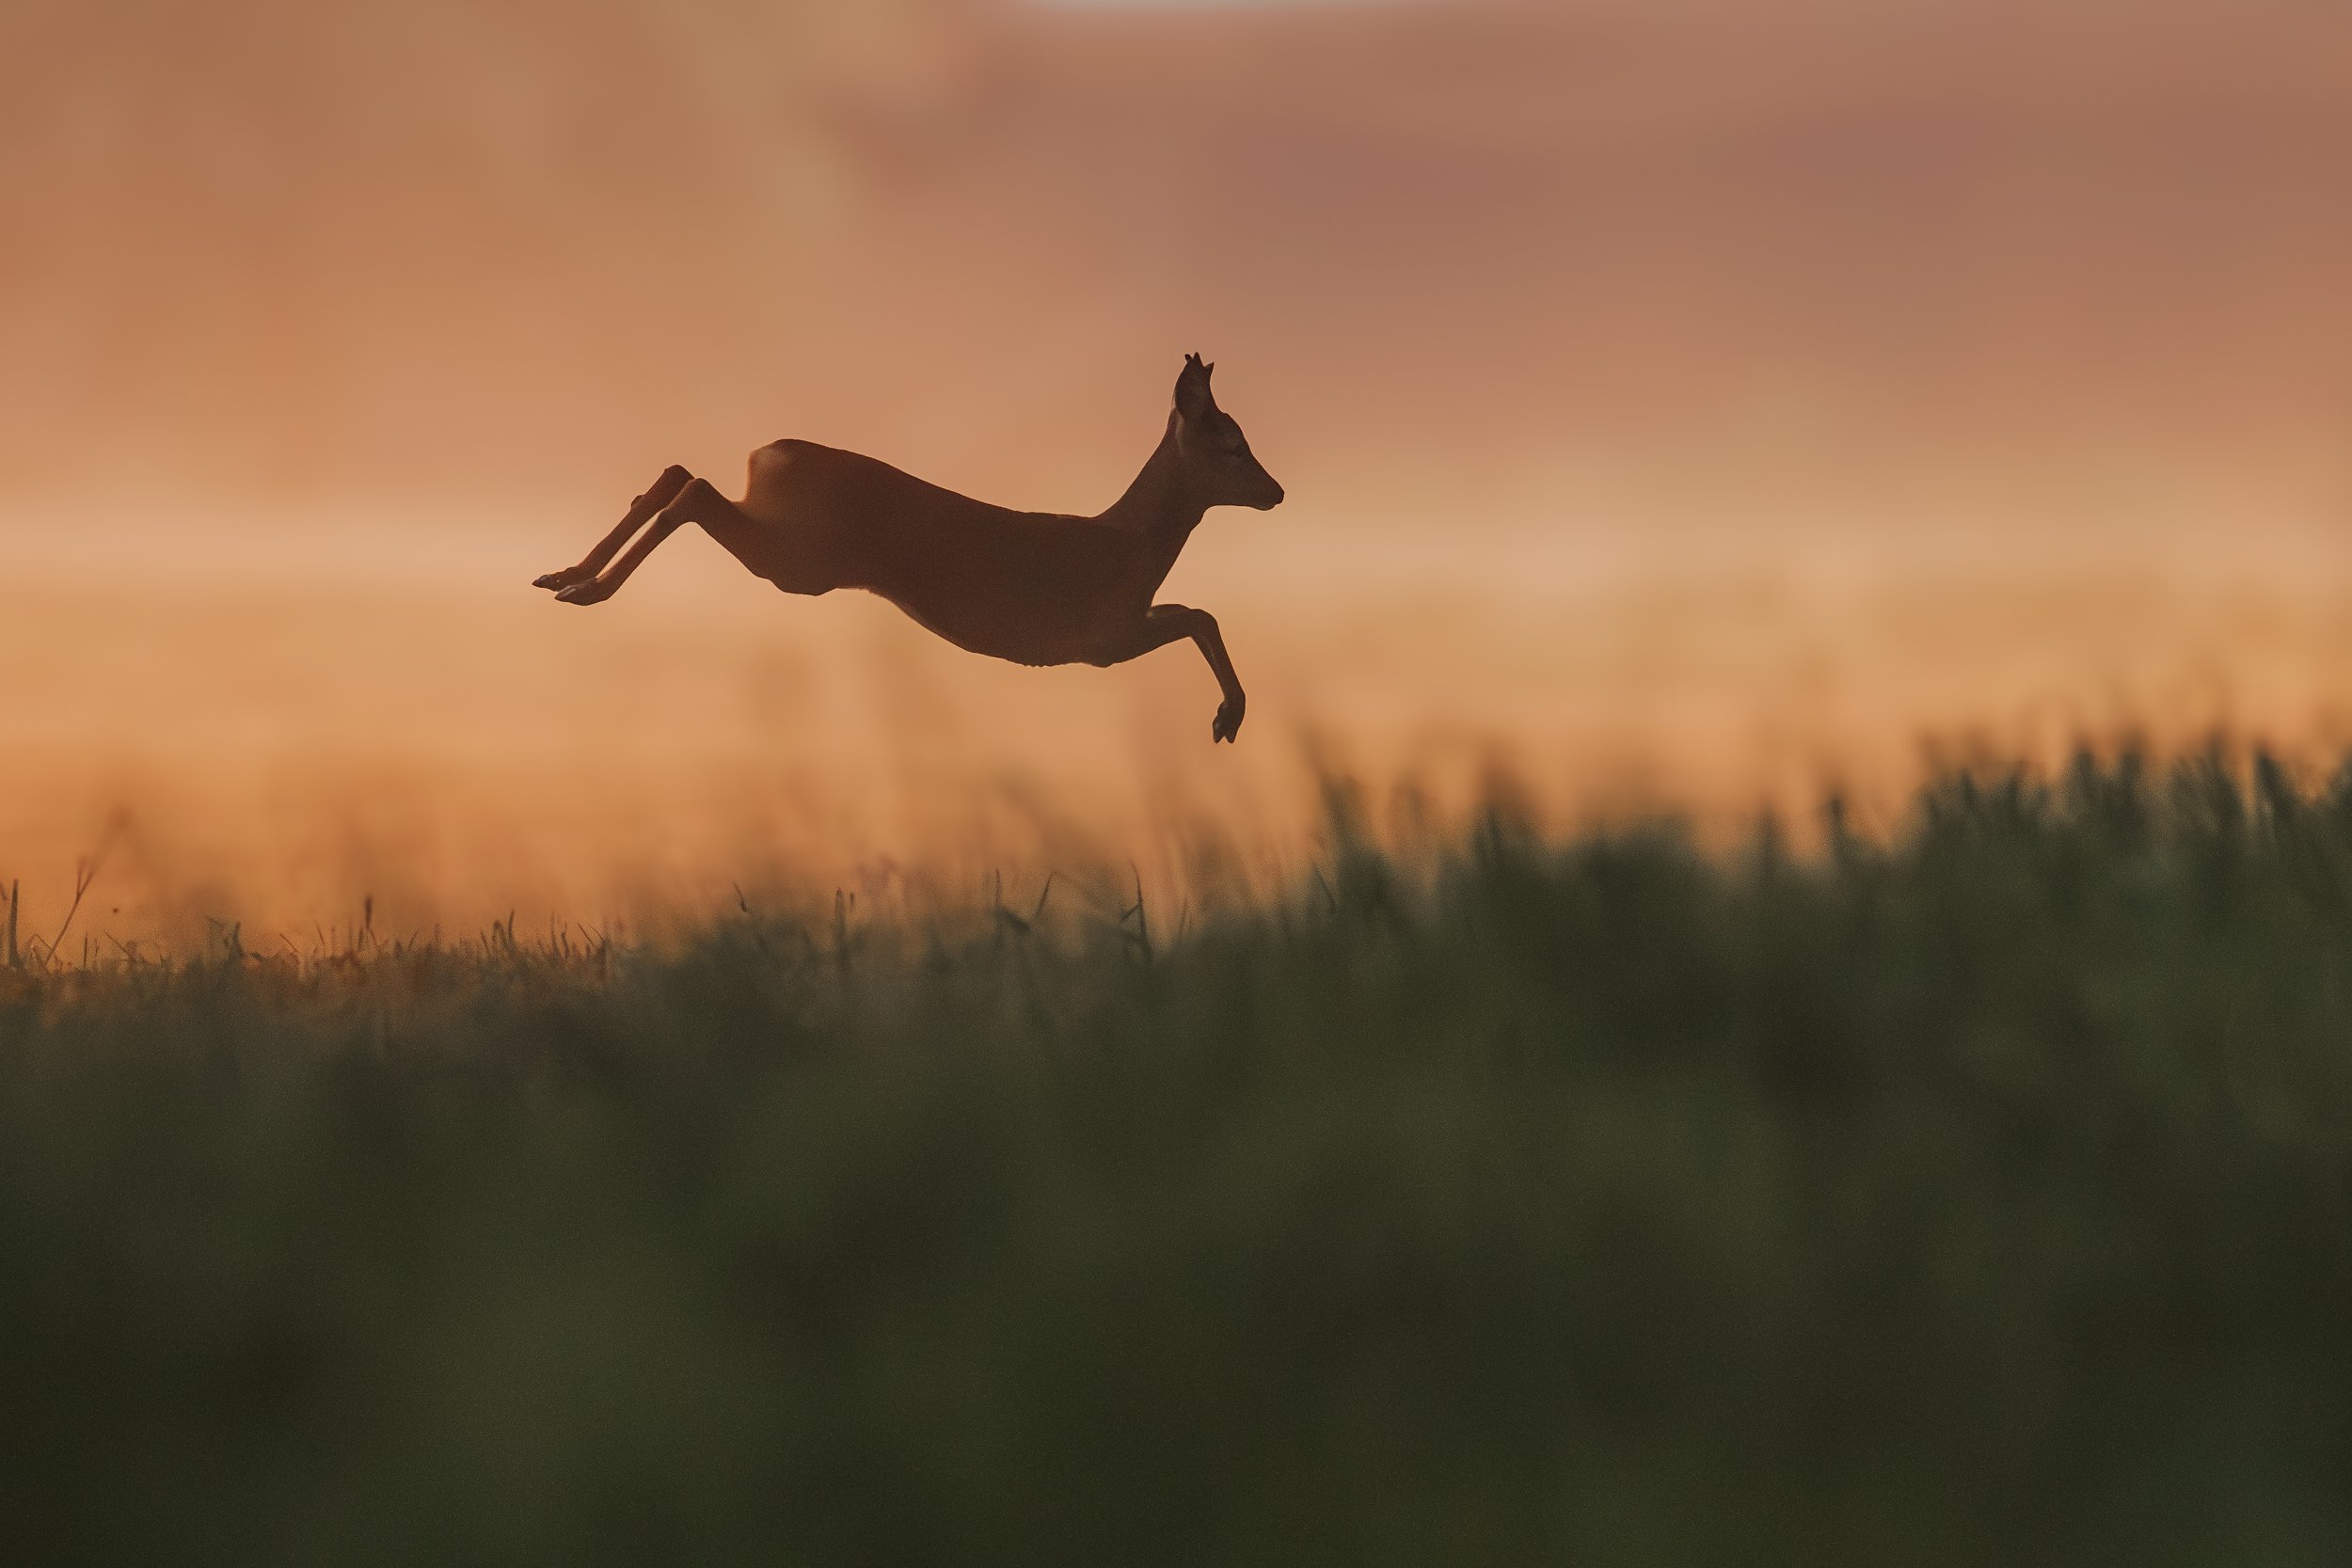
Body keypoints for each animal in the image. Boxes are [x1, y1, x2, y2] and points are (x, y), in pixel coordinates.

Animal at [533, 355, 1284, 743]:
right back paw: (586, 588)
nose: (1276, 491)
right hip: (798, 560)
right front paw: (1229, 717)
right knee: (692, 489)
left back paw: (563, 574)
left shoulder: (1124, 624)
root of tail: (768, 453)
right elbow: (1200, 614)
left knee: (678, 472)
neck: (1130, 545)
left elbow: (1199, 612)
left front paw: (1228, 715)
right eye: (1233, 444)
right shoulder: (1101, 638)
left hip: (784, 543)